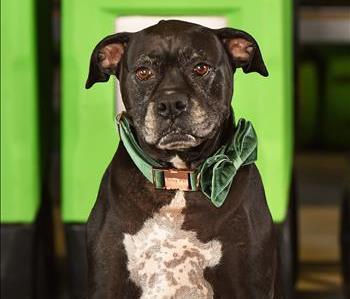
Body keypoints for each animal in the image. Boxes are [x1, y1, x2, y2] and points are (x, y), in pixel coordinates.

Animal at [86, 19, 280, 298]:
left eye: (201, 68)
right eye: (143, 72)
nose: (171, 103)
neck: (177, 179)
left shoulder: (248, 283)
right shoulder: (107, 281)